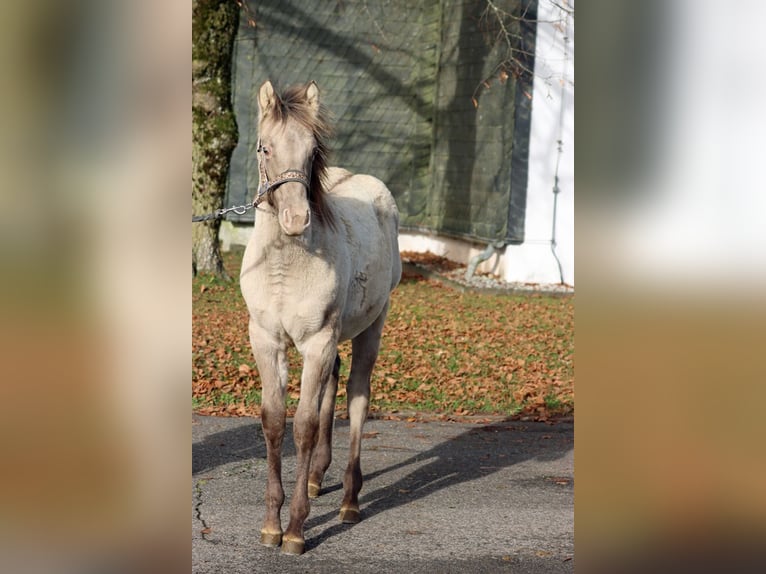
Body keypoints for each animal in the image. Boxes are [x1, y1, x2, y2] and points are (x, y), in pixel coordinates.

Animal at [239, 80, 401, 555]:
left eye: (313, 151)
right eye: (265, 147)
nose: (296, 219)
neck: (285, 265)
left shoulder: (317, 342)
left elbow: (305, 427)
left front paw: (295, 530)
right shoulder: (266, 339)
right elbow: (274, 421)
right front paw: (270, 525)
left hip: (372, 325)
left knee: (357, 395)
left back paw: (349, 500)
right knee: (335, 380)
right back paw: (315, 478)